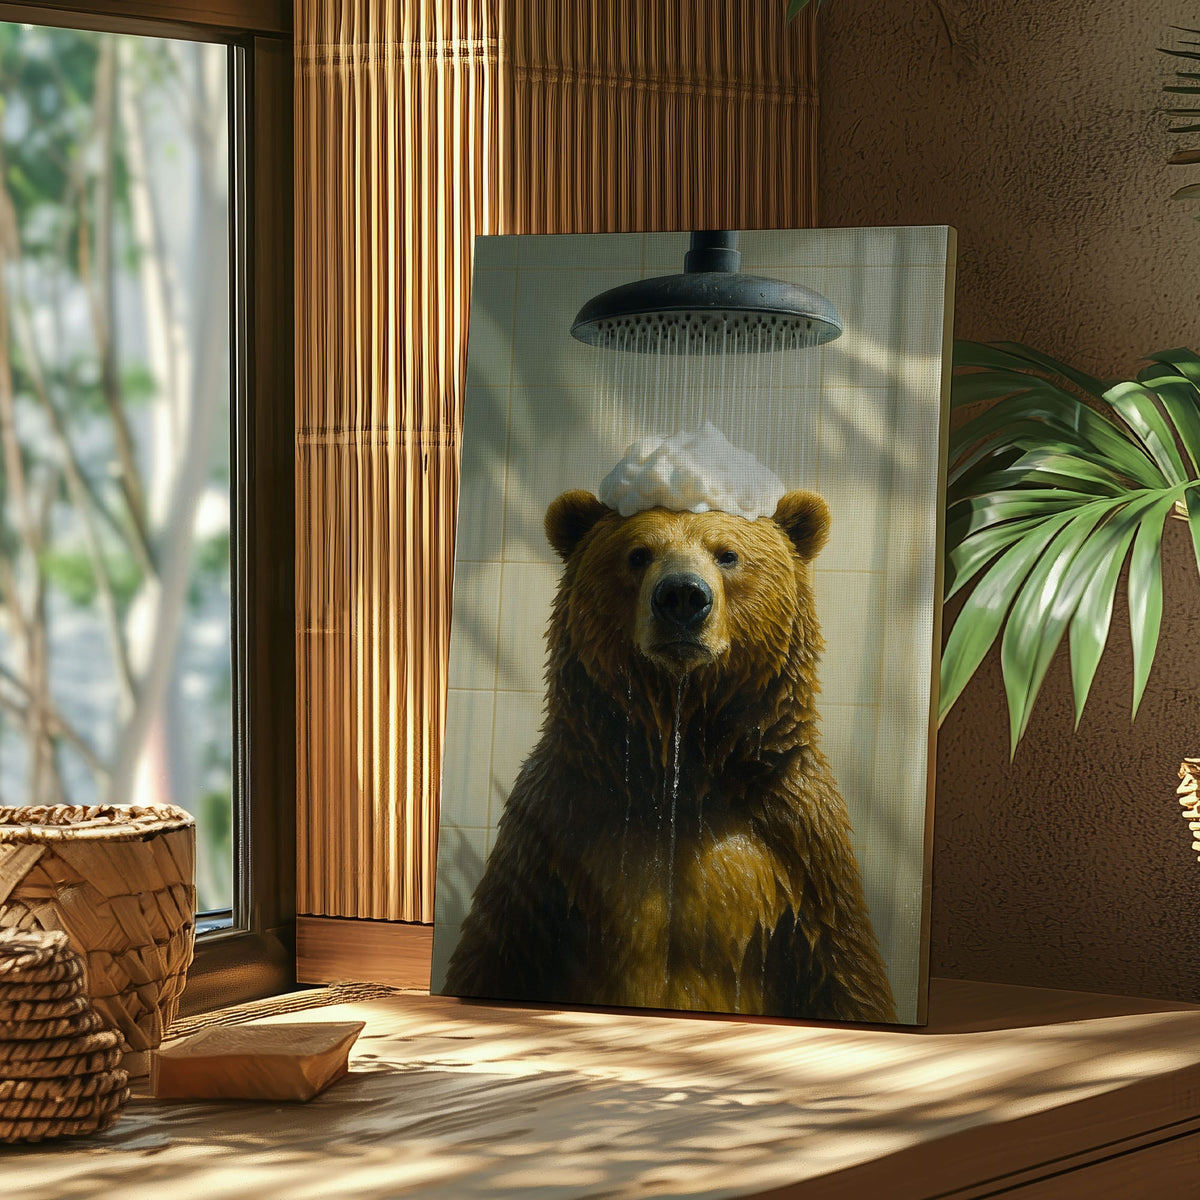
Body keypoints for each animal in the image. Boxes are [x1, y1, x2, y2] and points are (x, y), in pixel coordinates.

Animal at [443, 488, 897, 1023]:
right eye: (638, 554)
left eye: (727, 554)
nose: (682, 597)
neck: (680, 774)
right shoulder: (552, 833)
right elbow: (494, 952)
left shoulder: (802, 850)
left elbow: (848, 975)